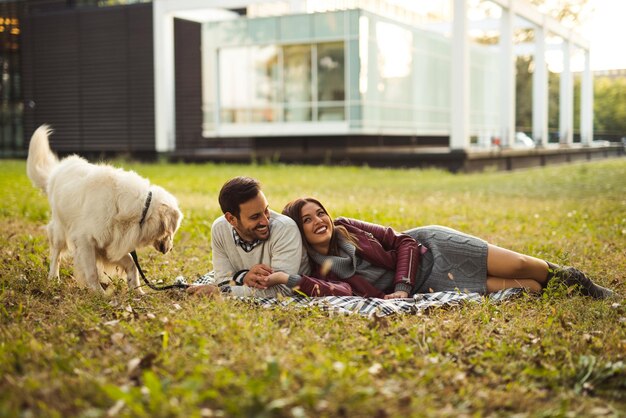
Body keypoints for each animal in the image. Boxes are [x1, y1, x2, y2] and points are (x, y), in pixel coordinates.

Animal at [27, 125, 183, 292]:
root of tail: (59, 169)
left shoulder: (109, 244)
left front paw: (137, 291)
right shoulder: (85, 240)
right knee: (56, 254)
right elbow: (92, 272)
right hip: (60, 230)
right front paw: (98, 293)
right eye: (173, 231)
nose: (171, 249)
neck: (141, 209)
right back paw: (53, 277)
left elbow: (131, 264)